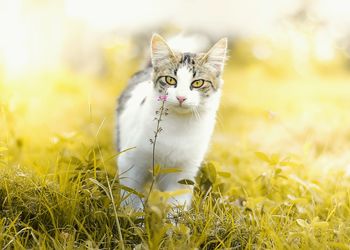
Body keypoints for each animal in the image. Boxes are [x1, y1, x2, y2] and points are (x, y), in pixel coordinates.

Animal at [116, 33, 228, 209]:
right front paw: (132, 216)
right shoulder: (131, 163)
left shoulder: (183, 174)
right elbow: (131, 200)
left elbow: (176, 207)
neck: (178, 127)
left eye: (198, 83)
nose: (181, 97)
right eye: (170, 80)